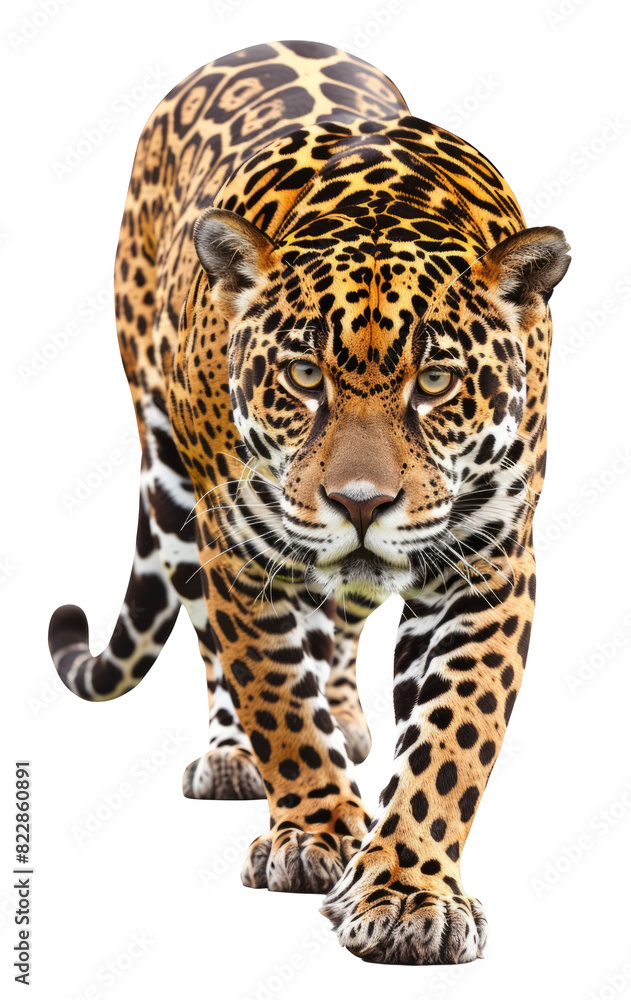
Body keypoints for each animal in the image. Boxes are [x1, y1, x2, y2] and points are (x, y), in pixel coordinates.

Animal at [48, 39, 570, 964]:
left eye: (435, 382)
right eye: (301, 376)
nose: (359, 503)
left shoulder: (489, 566)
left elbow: (450, 740)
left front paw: (406, 892)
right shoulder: (239, 550)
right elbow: (276, 698)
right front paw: (316, 834)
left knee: (340, 623)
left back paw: (348, 715)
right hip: (175, 486)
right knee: (218, 647)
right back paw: (233, 758)